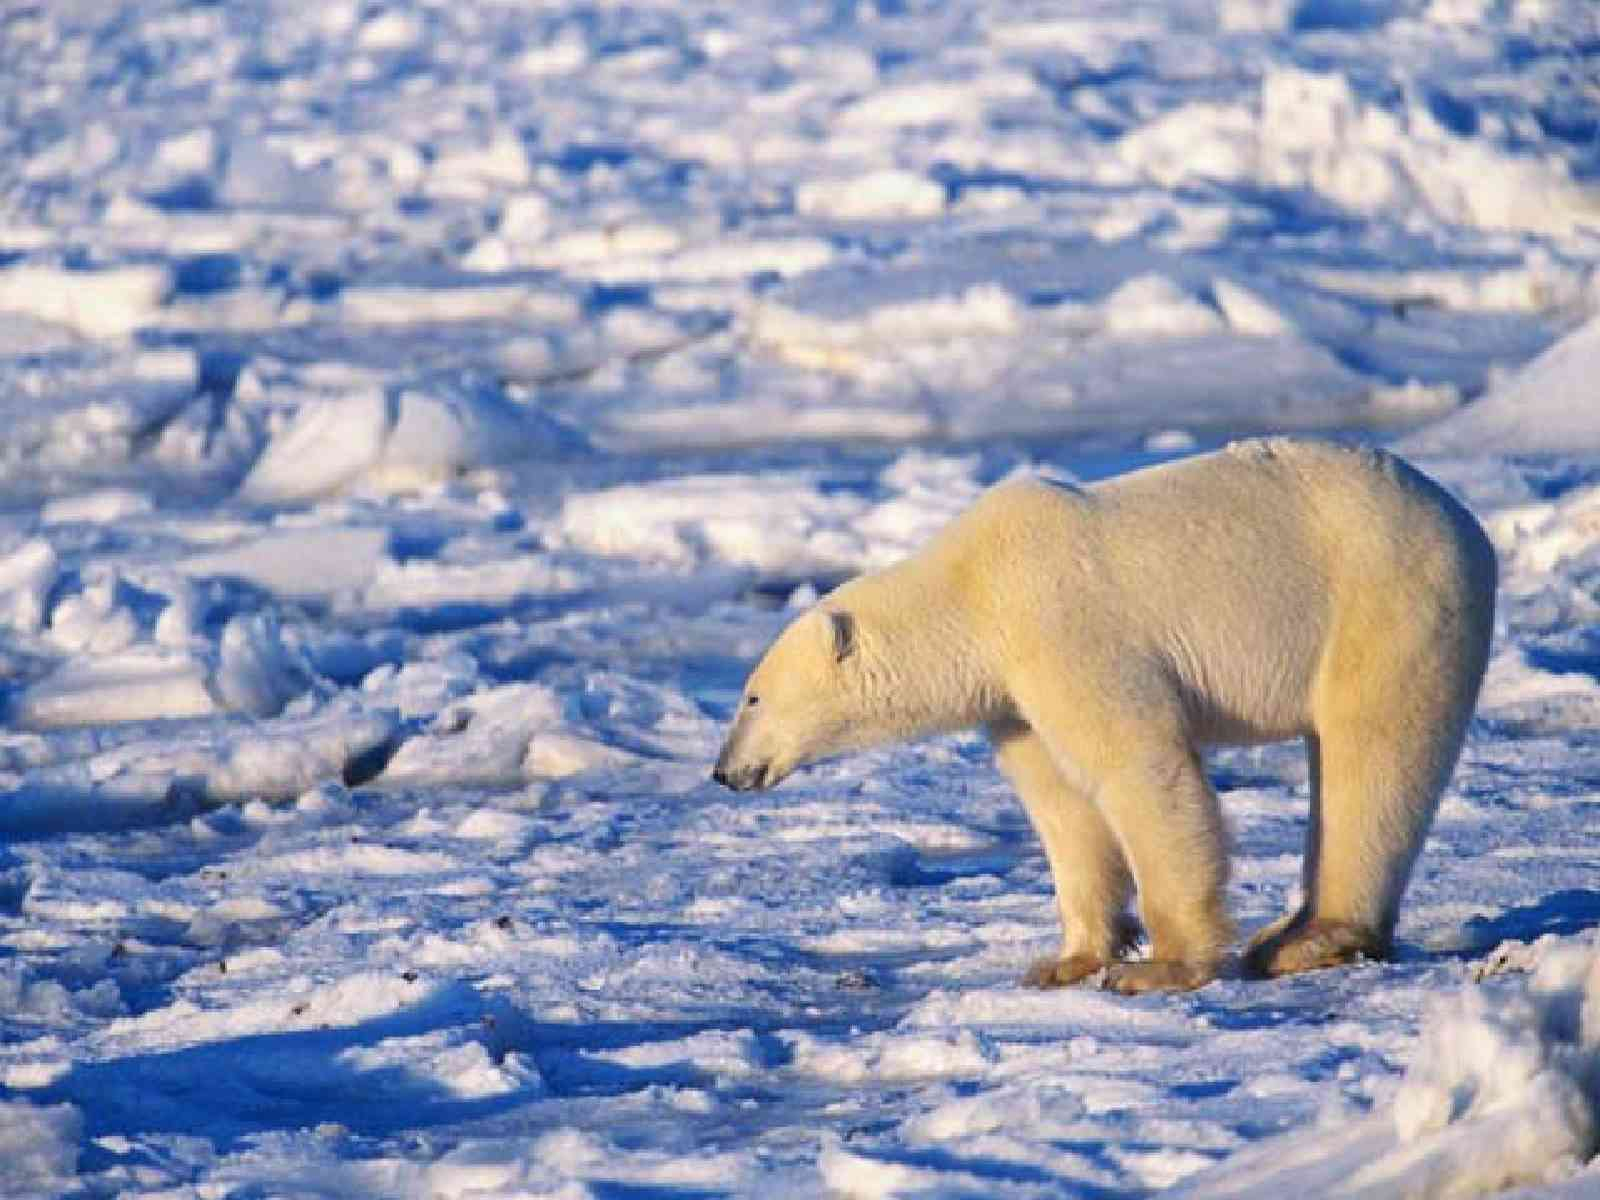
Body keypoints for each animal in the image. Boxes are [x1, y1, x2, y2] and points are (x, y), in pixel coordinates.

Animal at [713, 441, 1497, 998]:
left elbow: (1139, 767)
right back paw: (1290, 931)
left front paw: (1161, 966)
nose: (724, 772)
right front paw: (1067, 959)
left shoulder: (1063, 626)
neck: (973, 591)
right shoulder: (1015, 696)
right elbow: (1061, 805)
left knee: (1369, 759)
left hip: (1387, 604)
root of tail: (1468, 523)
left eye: (750, 697)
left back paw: (1309, 938)